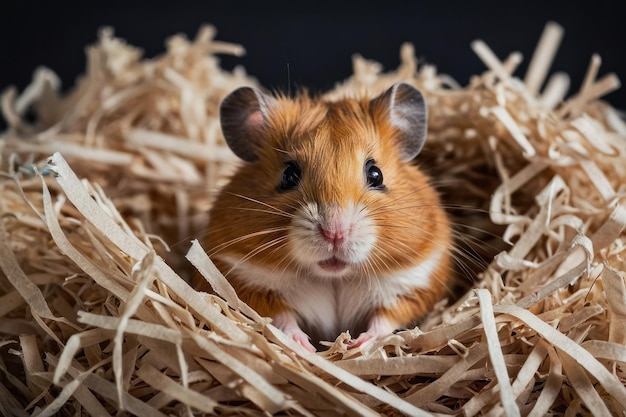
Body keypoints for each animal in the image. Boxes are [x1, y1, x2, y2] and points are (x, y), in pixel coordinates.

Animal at [202, 82, 450, 352]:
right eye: (289, 175)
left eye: (376, 174)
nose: (335, 233)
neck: (335, 277)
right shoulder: (245, 280)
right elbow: (280, 317)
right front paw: (307, 348)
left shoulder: (415, 282)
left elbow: (386, 316)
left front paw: (356, 344)